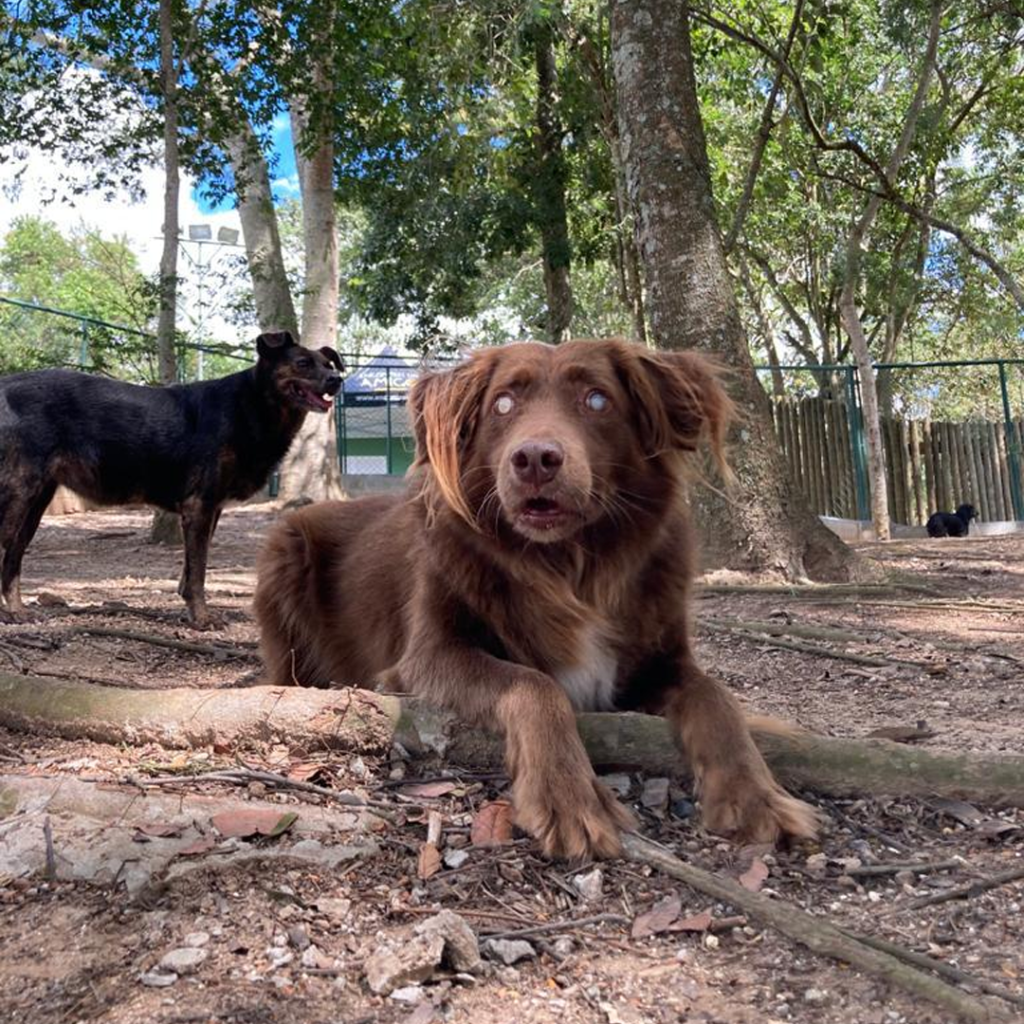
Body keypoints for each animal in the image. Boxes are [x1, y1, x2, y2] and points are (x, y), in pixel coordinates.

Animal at [0, 331, 344, 626]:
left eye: (328, 365)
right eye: (303, 363)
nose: (337, 380)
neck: (253, 403)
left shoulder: (210, 510)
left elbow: (190, 572)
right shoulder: (199, 507)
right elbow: (199, 572)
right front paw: (201, 618)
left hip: (34, 504)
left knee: (12, 561)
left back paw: (17, 610)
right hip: (18, 495)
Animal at [253, 337, 815, 856]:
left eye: (597, 399)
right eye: (503, 404)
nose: (536, 460)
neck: (565, 565)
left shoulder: (662, 657)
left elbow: (717, 698)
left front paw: (757, 796)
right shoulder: (424, 658)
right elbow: (535, 684)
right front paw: (570, 797)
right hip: (283, 549)